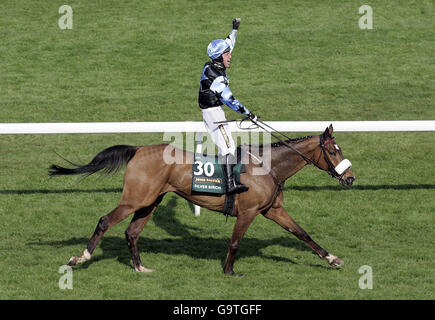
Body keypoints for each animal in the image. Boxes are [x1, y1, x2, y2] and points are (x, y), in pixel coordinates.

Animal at [50, 124, 354, 276]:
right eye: (333, 151)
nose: (350, 178)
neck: (267, 167)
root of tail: (138, 149)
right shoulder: (249, 212)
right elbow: (235, 241)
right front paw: (229, 271)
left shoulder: (273, 209)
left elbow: (302, 234)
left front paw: (333, 259)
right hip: (135, 199)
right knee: (105, 221)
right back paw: (80, 257)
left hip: (150, 201)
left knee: (132, 232)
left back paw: (140, 267)